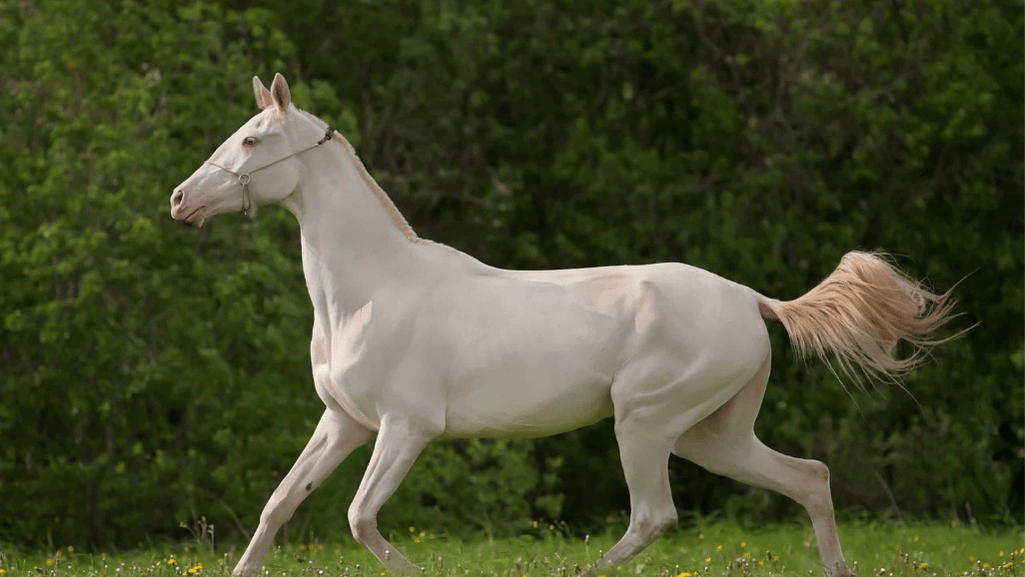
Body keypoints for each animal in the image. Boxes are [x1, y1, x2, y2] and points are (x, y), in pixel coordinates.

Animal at [171, 73, 957, 576]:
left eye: (252, 140)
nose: (180, 199)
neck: (367, 293)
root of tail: (751, 299)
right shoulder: (344, 421)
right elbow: (279, 505)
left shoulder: (406, 426)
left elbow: (361, 518)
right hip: (711, 435)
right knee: (809, 479)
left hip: (644, 421)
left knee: (654, 517)